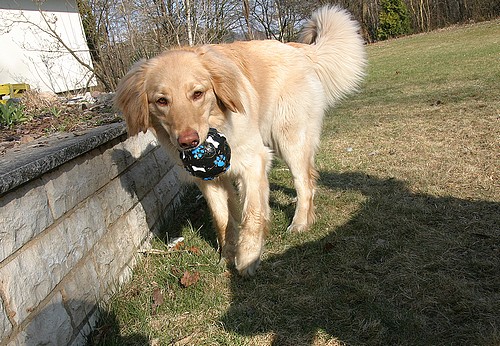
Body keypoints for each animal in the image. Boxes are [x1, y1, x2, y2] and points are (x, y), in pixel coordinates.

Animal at [116, 6, 368, 276]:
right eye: (161, 101)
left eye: (197, 94)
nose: (188, 141)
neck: (219, 122)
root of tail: (296, 48)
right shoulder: (209, 180)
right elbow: (223, 219)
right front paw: (227, 253)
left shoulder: (253, 162)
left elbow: (252, 214)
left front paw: (248, 257)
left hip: (289, 139)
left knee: (305, 183)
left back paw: (300, 222)